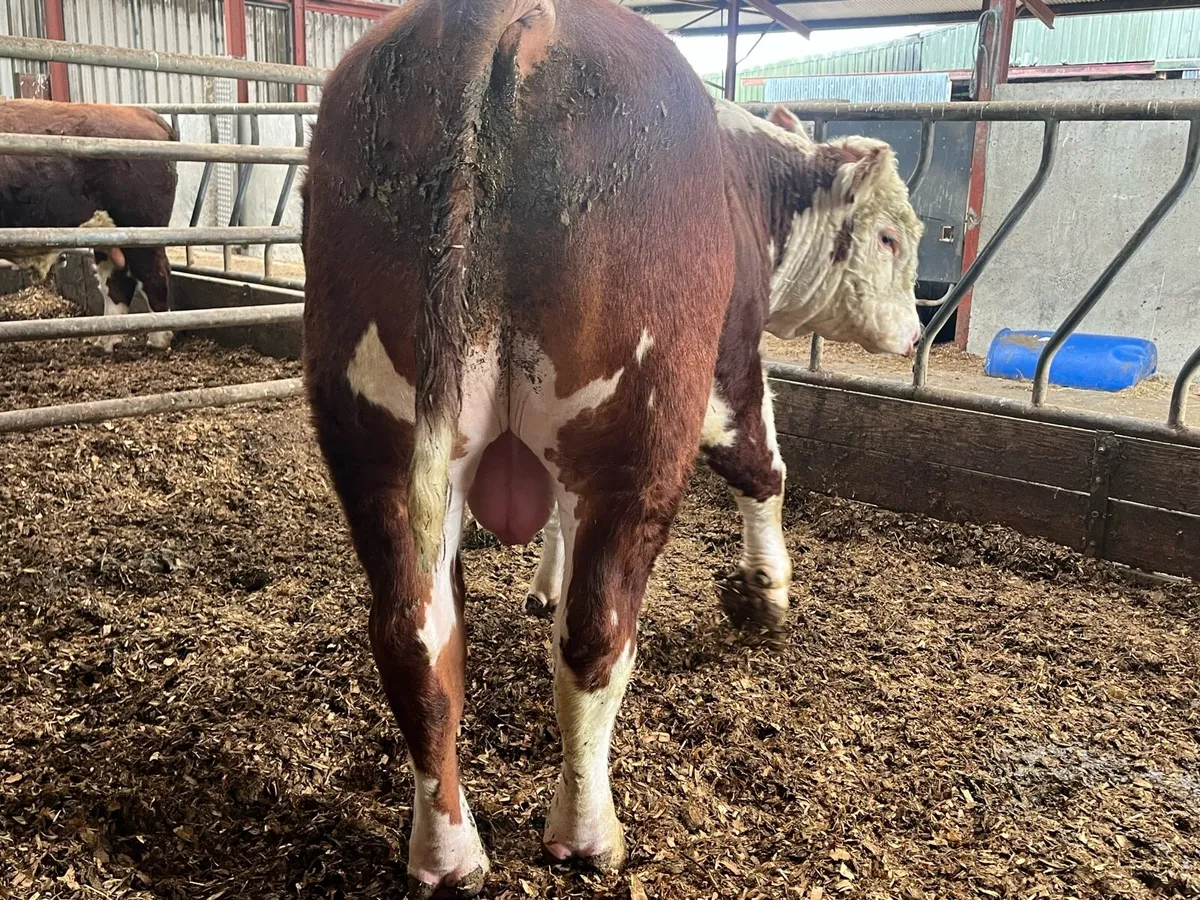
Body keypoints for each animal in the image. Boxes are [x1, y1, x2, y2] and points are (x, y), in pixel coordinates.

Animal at [0, 99, 178, 351]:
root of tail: (140, 112)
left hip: (141, 228)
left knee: (154, 274)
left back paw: (158, 339)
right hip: (108, 234)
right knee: (116, 280)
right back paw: (106, 340)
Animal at [301, 0, 922, 895]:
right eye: (889, 238)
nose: (914, 333)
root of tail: (507, 21)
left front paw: (542, 585)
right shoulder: (729, 363)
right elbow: (761, 467)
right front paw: (765, 594)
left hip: (378, 439)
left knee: (415, 639)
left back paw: (447, 853)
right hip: (641, 424)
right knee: (597, 634)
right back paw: (587, 834)